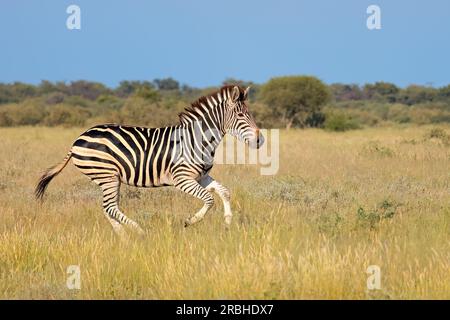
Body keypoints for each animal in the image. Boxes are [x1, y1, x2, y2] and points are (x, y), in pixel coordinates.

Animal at [37, 86, 266, 236]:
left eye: (250, 114)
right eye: (241, 115)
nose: (260, 140)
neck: (197, 139)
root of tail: (78, 138)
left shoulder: (201, 176)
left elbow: (224, 192)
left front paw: (228, 223)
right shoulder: (182, 179)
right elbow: (209, 199)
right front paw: (190, 221)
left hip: (108, 178)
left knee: (108, 208)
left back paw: (122, 236)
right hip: (107, 175)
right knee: (110, 207)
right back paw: (138, 231)